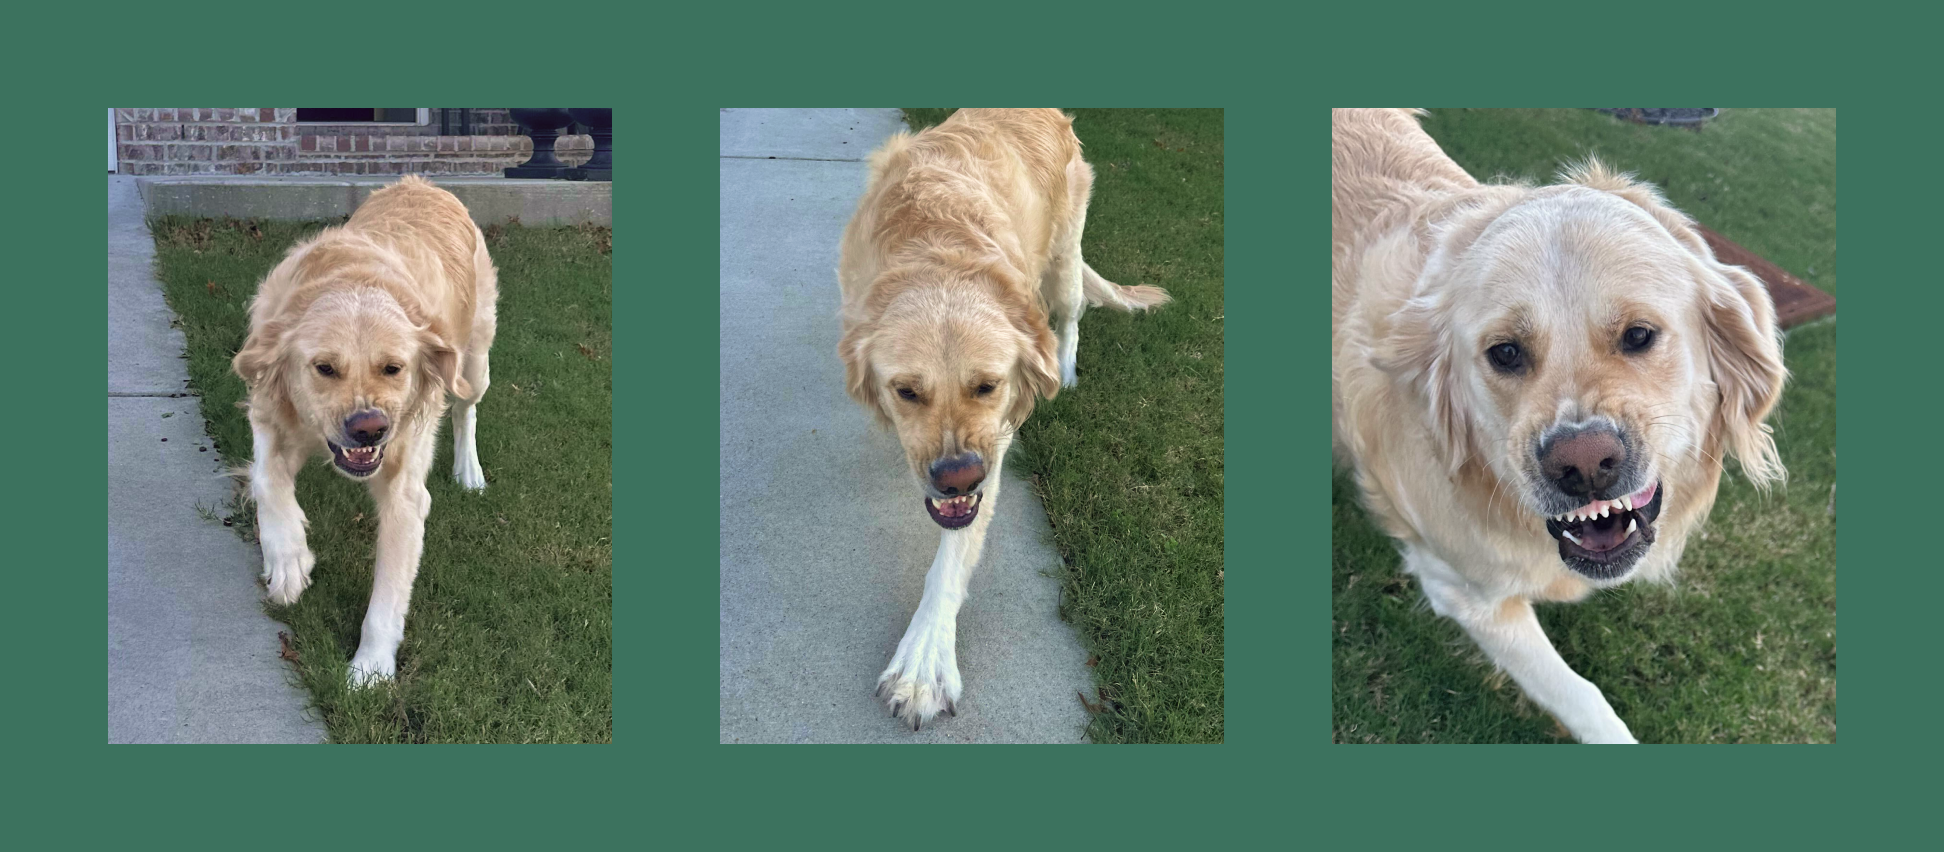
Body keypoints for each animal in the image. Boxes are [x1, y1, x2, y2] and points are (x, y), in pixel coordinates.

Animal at [234, 176, 497, 688]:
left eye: (393, 368)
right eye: (324, 368)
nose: (369, 429)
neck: (351, 280)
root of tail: (423, 183)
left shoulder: (405, 489)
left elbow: (388, 594)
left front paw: (369, 670)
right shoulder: (270, 410)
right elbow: (266, 478)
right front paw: (288, 559)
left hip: (473, 361)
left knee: (466, 408)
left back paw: (469, 470)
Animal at [835, 109, 1166, 727]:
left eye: (988, 386)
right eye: (906, 392)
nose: (956, 478)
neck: (935, 249)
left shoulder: (997, 436)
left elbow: (949, 562)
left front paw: (923, 662)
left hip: (1064, 258)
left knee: (1072, 314)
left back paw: (1066, 368)